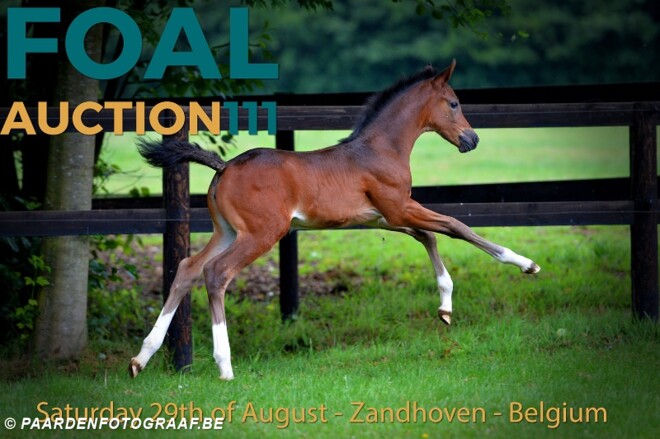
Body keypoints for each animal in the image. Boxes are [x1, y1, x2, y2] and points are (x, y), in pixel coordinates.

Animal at [129, 60, 540, 380]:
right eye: (454, 103)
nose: (472, 140)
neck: (380, 149)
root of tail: (224, 166)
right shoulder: (398, 207)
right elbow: (456, 226)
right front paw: (524, 264)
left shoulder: (383, 217)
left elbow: (428, 237)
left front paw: (445, 308)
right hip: (262, 233)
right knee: (216, 273)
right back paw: (224, 366)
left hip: (227, 231)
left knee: (187, 268)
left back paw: (141, 357)